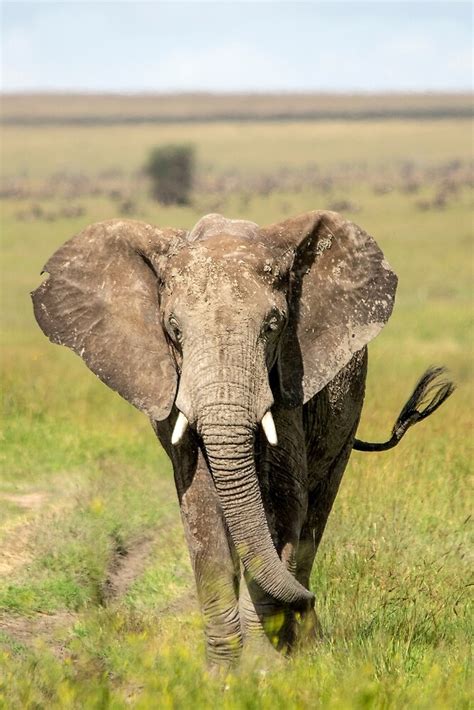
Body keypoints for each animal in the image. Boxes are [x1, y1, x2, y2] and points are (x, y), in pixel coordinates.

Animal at [31, 210, 454, 668]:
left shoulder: (288, 380)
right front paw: (223, 670)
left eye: (273, 325)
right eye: (173, 330)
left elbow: (285, 501)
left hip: (349, 407)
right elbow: (200, 504)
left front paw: (266, 666)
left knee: (316, 513)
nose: (310, 601)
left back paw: (303, 639)